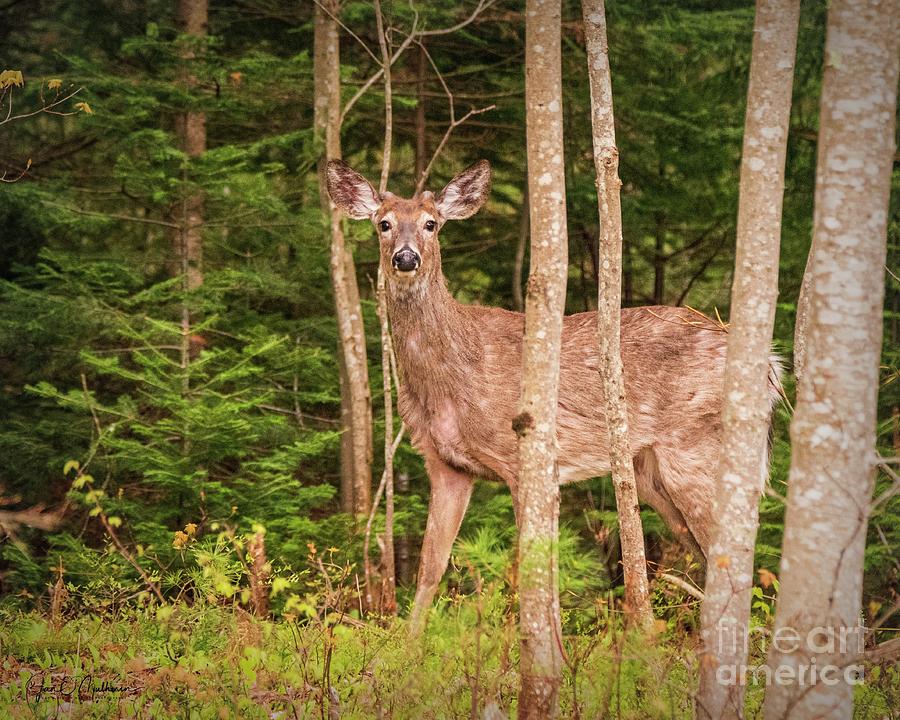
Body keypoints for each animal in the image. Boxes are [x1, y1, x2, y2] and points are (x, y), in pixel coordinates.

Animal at [326, 158, 782, 632]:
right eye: (383, 223)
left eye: (431, 224)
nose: (406, 257)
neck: (449, 380)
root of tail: (770, 367)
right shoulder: (445, 463)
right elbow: (430, 566)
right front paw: (409, 642)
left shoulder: (523, 456)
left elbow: (535, 565)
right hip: (651, 471)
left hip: (695, 450)